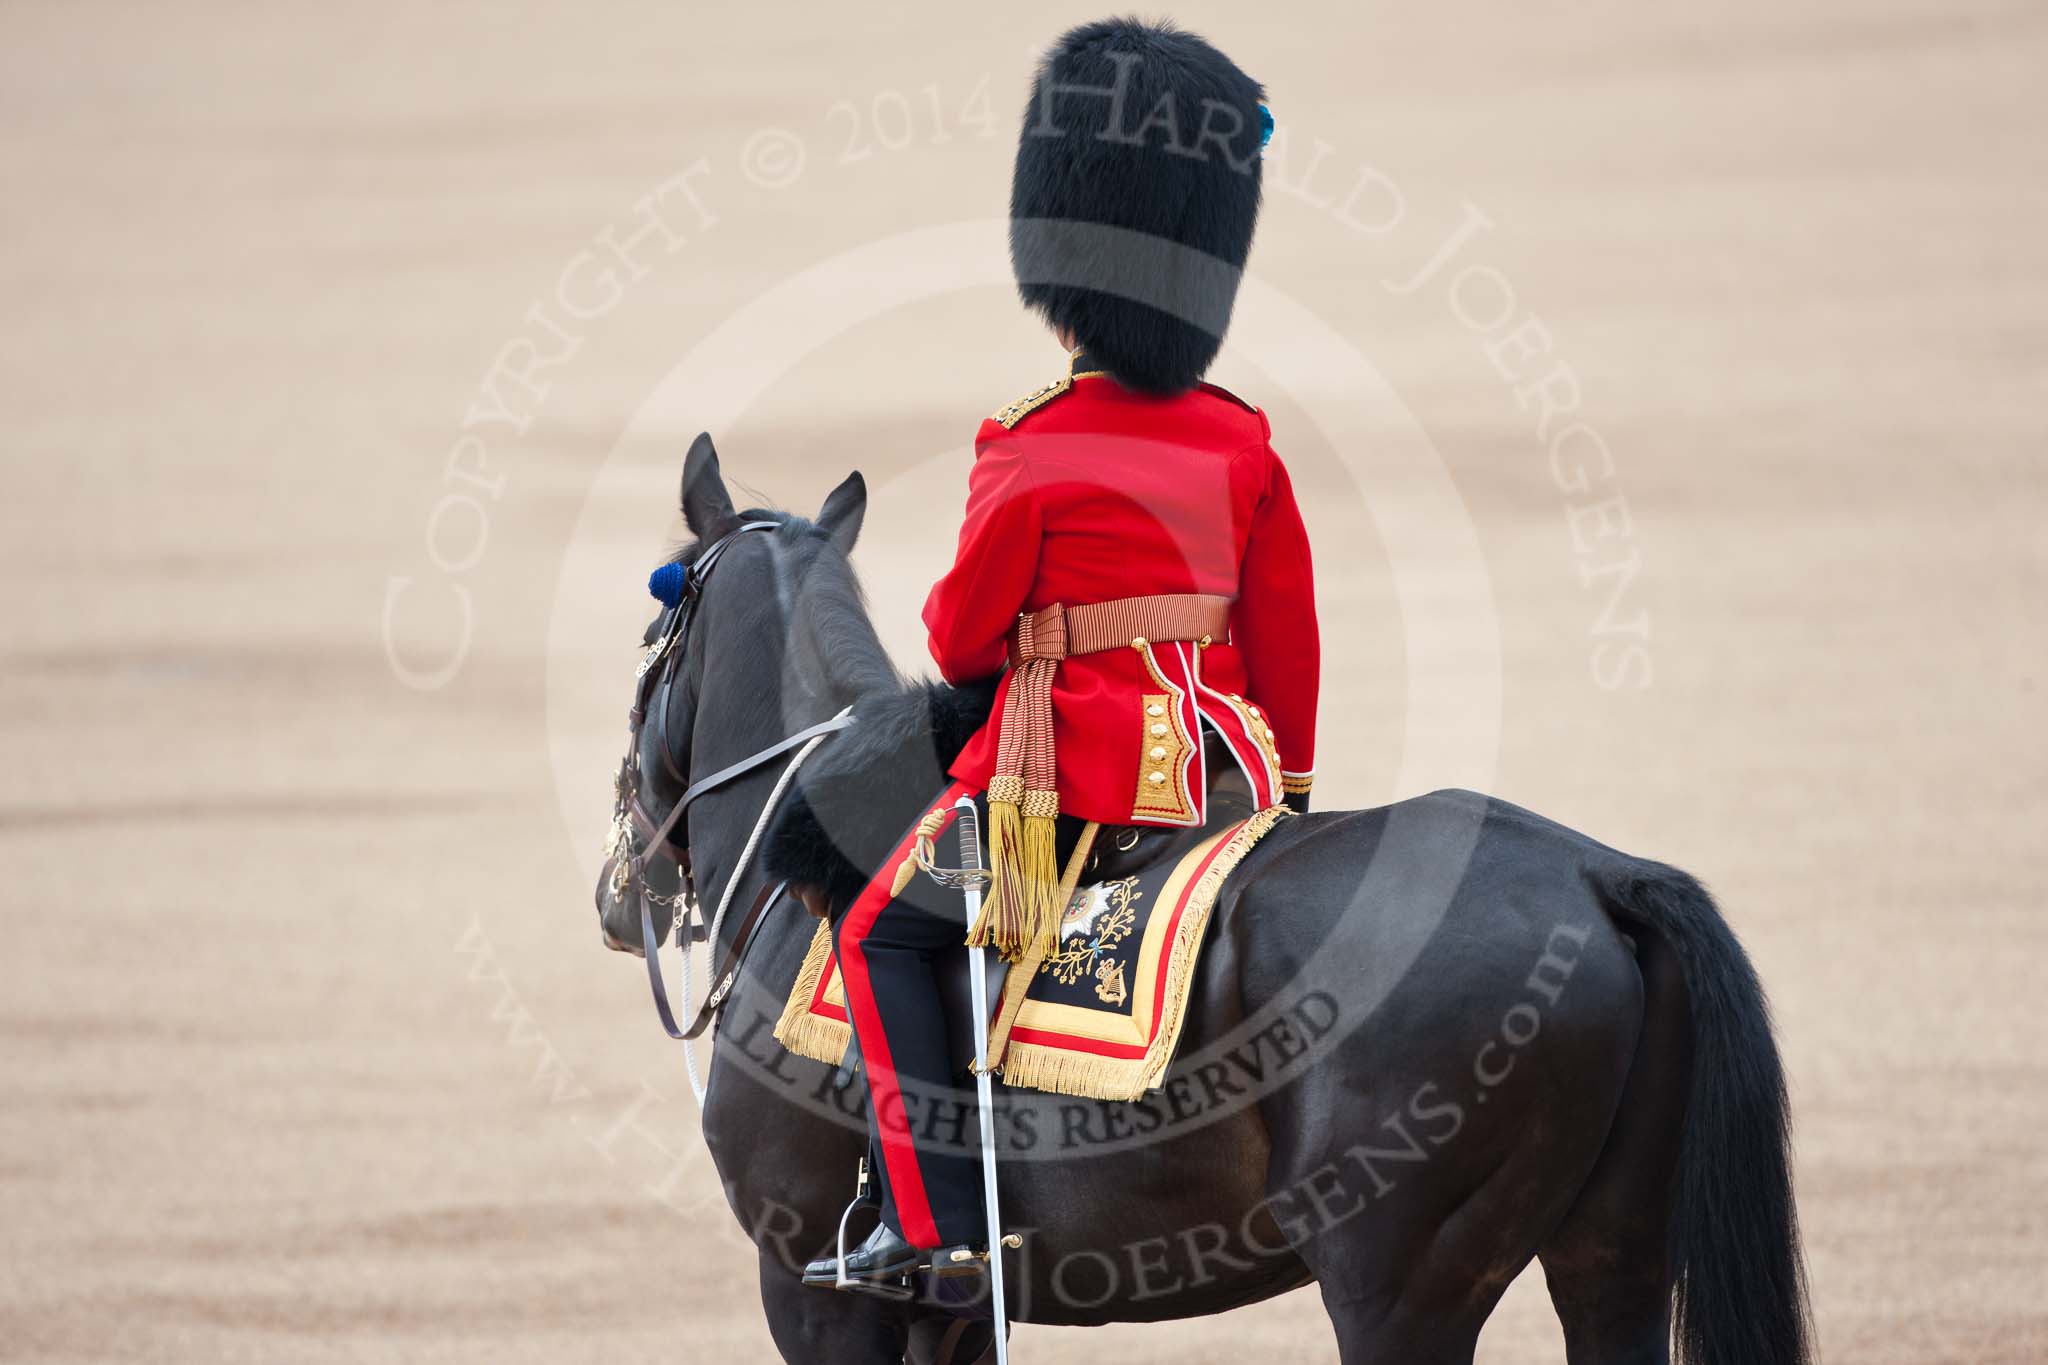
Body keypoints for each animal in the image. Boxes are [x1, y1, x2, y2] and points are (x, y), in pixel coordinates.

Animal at [598, 439, 1818, 1365]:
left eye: (652, 635)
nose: (622, 889)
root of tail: (1596, 873)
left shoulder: (814, 1290)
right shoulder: (959, 1314)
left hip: (1396, 1286)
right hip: (1614, 1256)